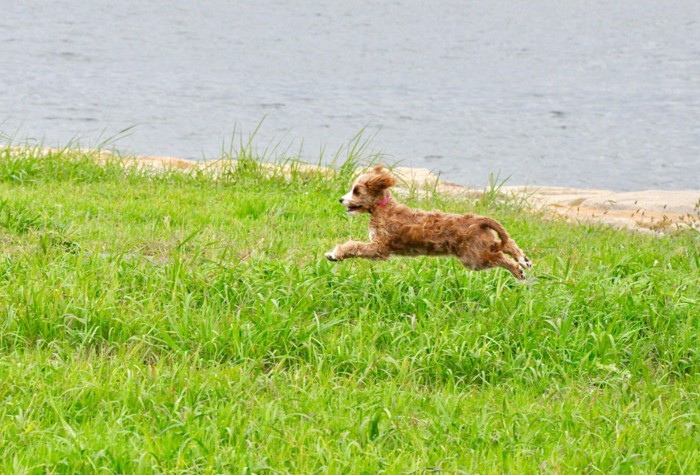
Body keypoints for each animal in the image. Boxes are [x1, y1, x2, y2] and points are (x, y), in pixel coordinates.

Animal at [326, 166, 532, 280]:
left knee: (500, 256)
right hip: (480, 247)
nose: (340, 199)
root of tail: (478, 220)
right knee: (507, 244)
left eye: (357, 191)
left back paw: (518, 270)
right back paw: (524, 260)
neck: (383, 209)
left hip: (474, 257)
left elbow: (354, 245)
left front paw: (335, 254)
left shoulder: (379, 247)